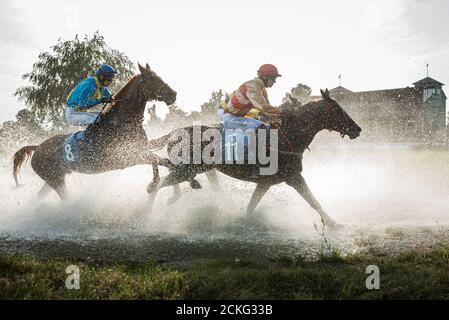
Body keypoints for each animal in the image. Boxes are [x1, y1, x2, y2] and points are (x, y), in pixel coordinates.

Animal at [12, 63, 175, 200]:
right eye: (152, 78)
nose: (174, 94)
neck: (121, 121)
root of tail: (37, 147)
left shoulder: (140, 147)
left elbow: (161, 156)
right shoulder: (127, 157)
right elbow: (158, 159)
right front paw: (157, 183)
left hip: (55, 177)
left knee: (40, 196)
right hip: (55, 179)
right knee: (66, 198)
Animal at [146, 89, 360, 229]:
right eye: (338, 108)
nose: (357, 128)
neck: (287, 137)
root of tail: (174, 132)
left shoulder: (266, 183)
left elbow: (251, 207)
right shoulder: (293, 177)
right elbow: (313, 201)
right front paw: (334, 224)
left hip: (195, 169)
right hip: (185, 170)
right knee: (156, 186)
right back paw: (147, 215)